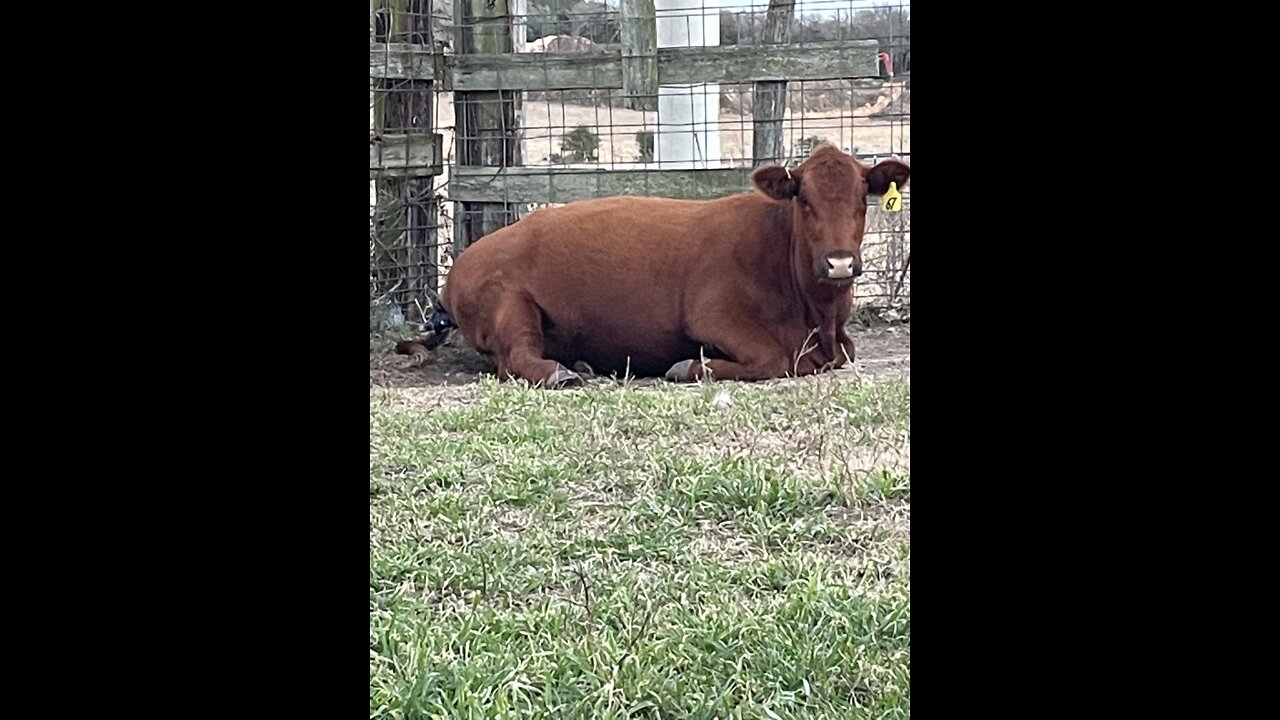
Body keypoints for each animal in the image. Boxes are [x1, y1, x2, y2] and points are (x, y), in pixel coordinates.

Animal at [430, 142, 911, 384]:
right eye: (804, 199)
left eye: (862, 199)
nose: (839, 263)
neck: (819, 319)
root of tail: (461, 265)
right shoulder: (713, 315)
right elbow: (773, 359)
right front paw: (690, 367)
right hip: (510, 303)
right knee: (515, 358)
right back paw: (560, 373)